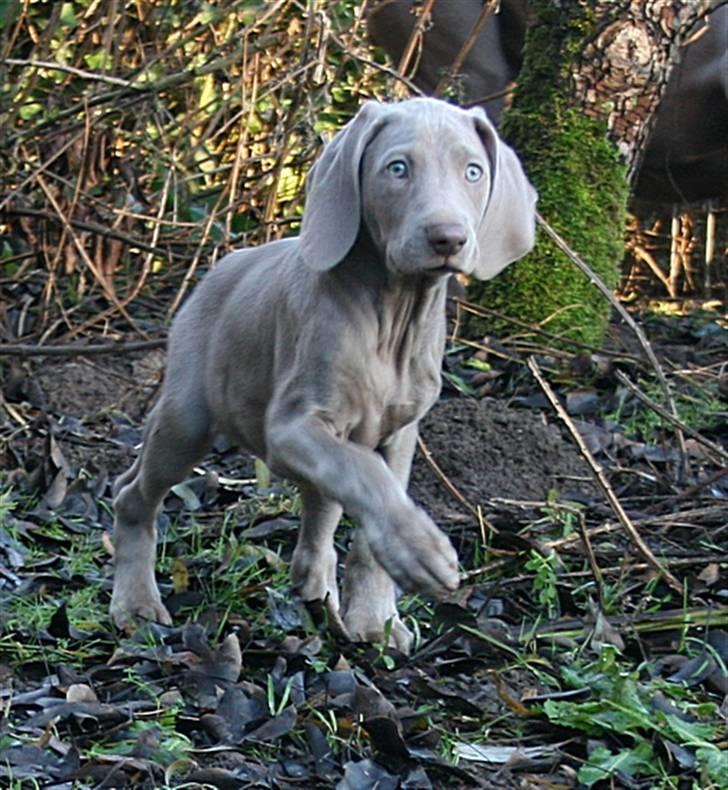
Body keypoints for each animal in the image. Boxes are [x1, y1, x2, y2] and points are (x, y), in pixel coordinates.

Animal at [111, 97, 536, 656]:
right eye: (397, 169)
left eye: (472, 171)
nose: (447, 237)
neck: (393, 313)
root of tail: (225, 264)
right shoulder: (291, 427)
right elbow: (368, 477)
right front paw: (419, 553)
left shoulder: (400, 433)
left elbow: (371, 493)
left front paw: (375, 617)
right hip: (187, 417)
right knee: (134, 493)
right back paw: (136, 602)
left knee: (320, 506)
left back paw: (315, 588)